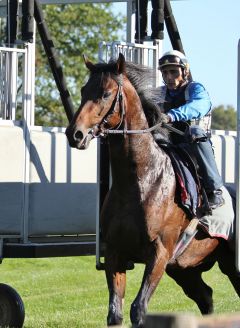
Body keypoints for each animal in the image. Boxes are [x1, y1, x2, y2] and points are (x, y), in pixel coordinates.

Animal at [64, 53, 239, 326]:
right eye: (83, 90)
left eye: (105, 93)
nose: (75, 134)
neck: (141, 181)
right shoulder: (115, 253)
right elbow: (115, 313)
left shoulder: (159, 253)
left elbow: (138, 308)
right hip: (185, 269)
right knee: (206, 296)